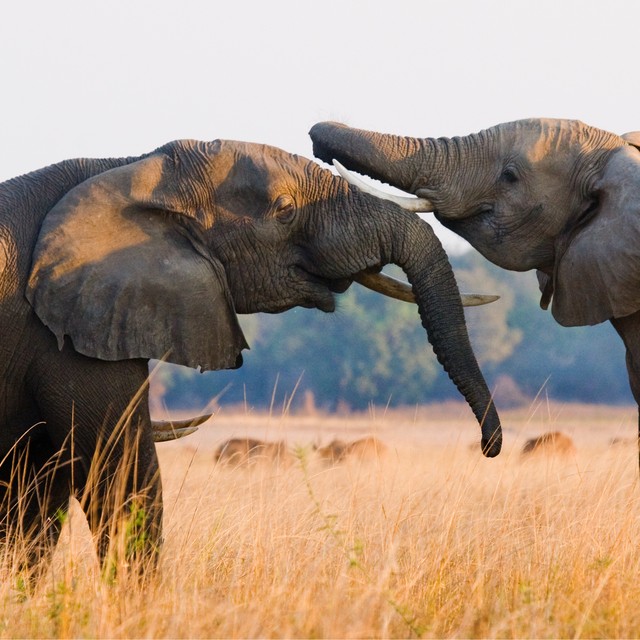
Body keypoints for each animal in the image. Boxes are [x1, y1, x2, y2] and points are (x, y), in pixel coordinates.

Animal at [0, 137, 502, 578]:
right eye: (283, 209)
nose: (488, 447)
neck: (134, 168)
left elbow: (42, 492)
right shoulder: (63, 327)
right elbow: (119, 474)